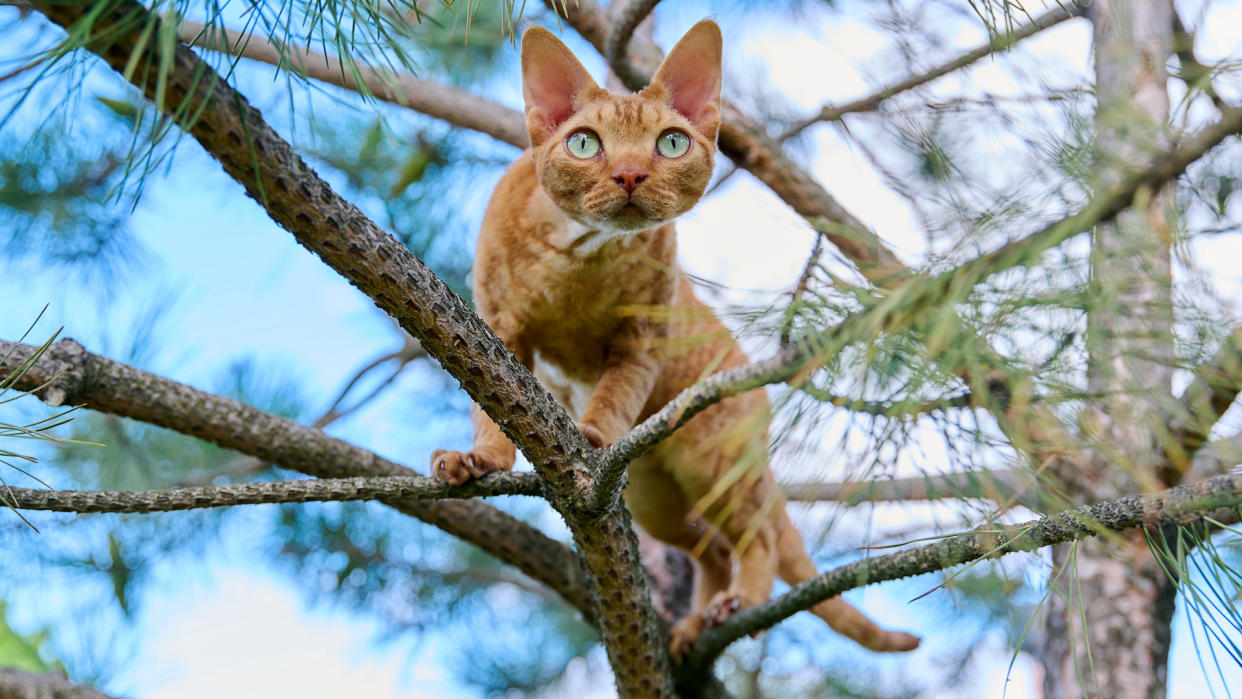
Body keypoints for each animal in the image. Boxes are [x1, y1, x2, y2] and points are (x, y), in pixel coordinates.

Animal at [432, 20, 919, 655]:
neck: (577, 263)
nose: (630, 174)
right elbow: (490, 408)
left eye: (670, 144)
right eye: (584, 143)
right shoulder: (499, 331)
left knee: (757, 540)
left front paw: (589, 438)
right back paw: (694, 626)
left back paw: (740, 604)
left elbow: (614, 397)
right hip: (655, 501)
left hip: (715, 463)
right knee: (713, 549)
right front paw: (480, 460)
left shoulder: (642, 339)